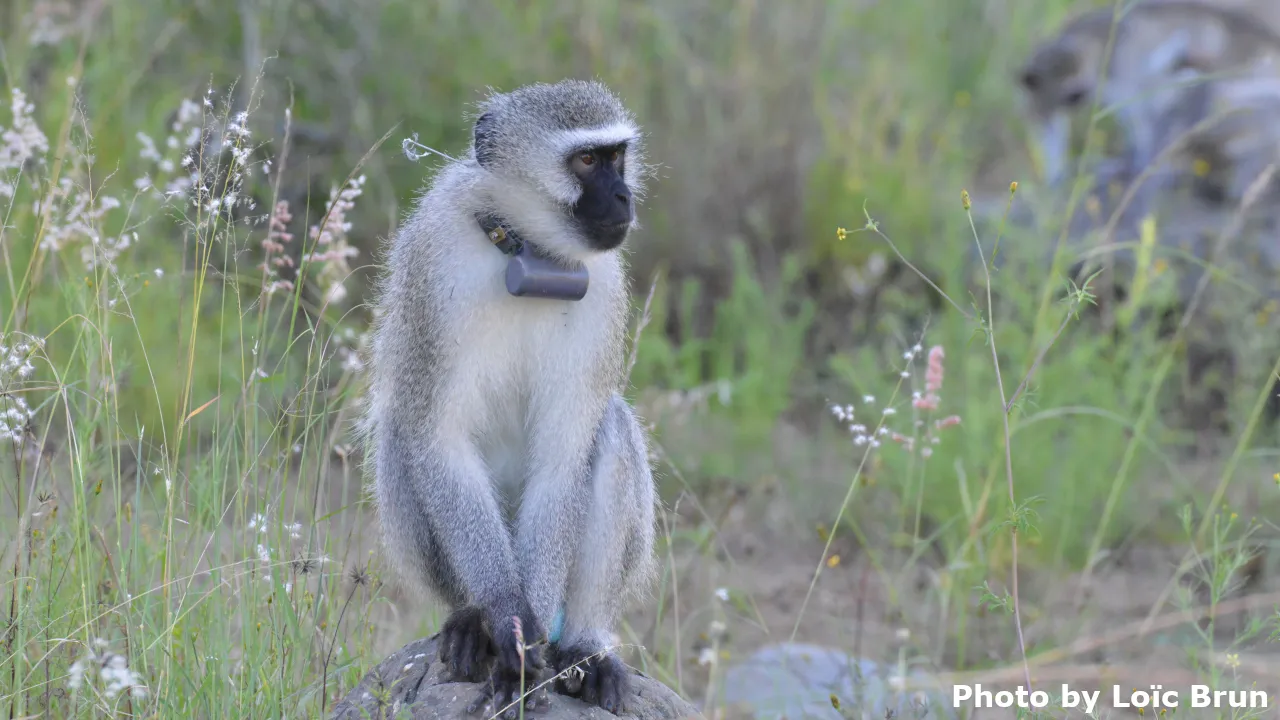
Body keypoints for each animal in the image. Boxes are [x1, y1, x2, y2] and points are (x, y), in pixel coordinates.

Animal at [362, 80, 658, 717]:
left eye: (617, 157)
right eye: (586, 161)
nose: (623, 197)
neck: (527, 255)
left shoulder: (603, 287)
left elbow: (564, 460)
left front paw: (531, 635)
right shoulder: (434, 264)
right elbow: (439, 441)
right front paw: (504, 619)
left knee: (609, 428)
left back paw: (583, 646)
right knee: (404, 431)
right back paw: (472, 621)